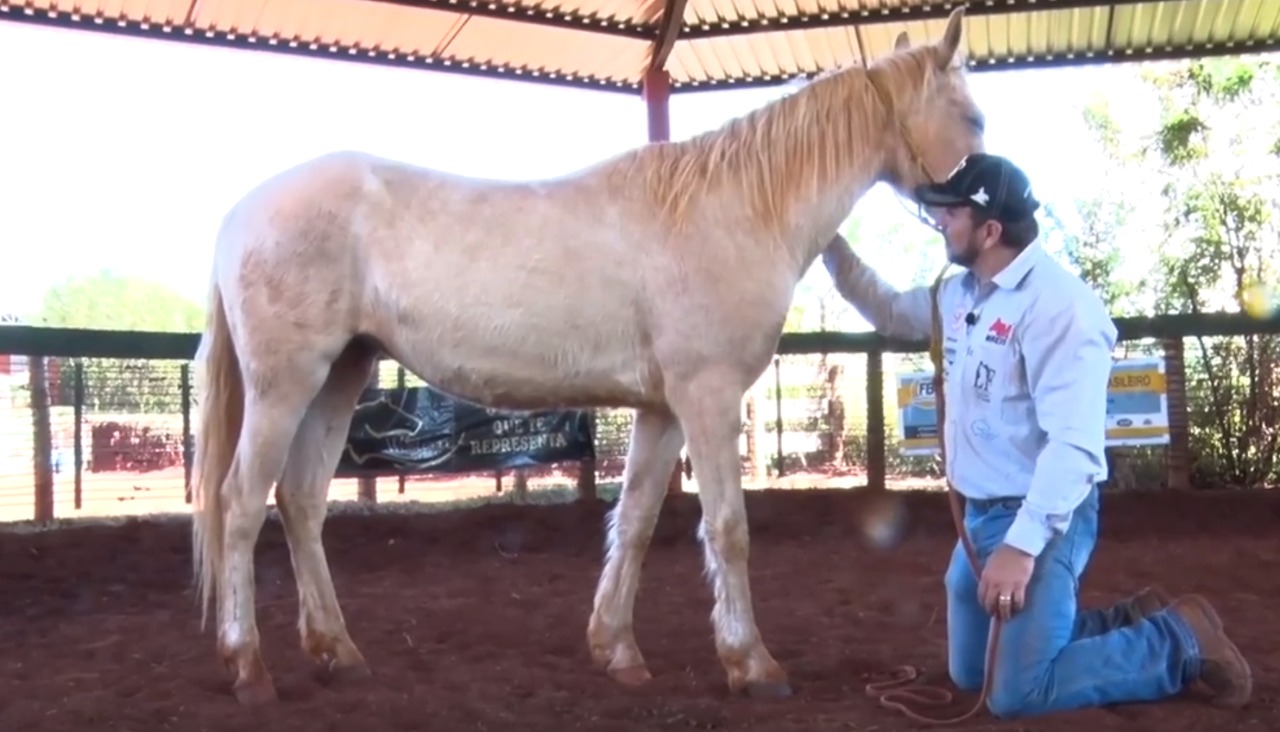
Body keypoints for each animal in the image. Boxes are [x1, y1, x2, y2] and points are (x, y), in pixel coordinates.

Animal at [189, 4, 983, 701]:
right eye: (972, 119)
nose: (997, 201)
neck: (734, 210)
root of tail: (238, 214)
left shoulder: (664, 410)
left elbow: (633, 522)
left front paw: (618, 651)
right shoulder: (708, 396)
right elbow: (728, 529)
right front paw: (752, 665)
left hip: (338, 377)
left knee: (299, 502)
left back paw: (337, 652)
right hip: (283, 385)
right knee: (239, 502)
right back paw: (247, 666)